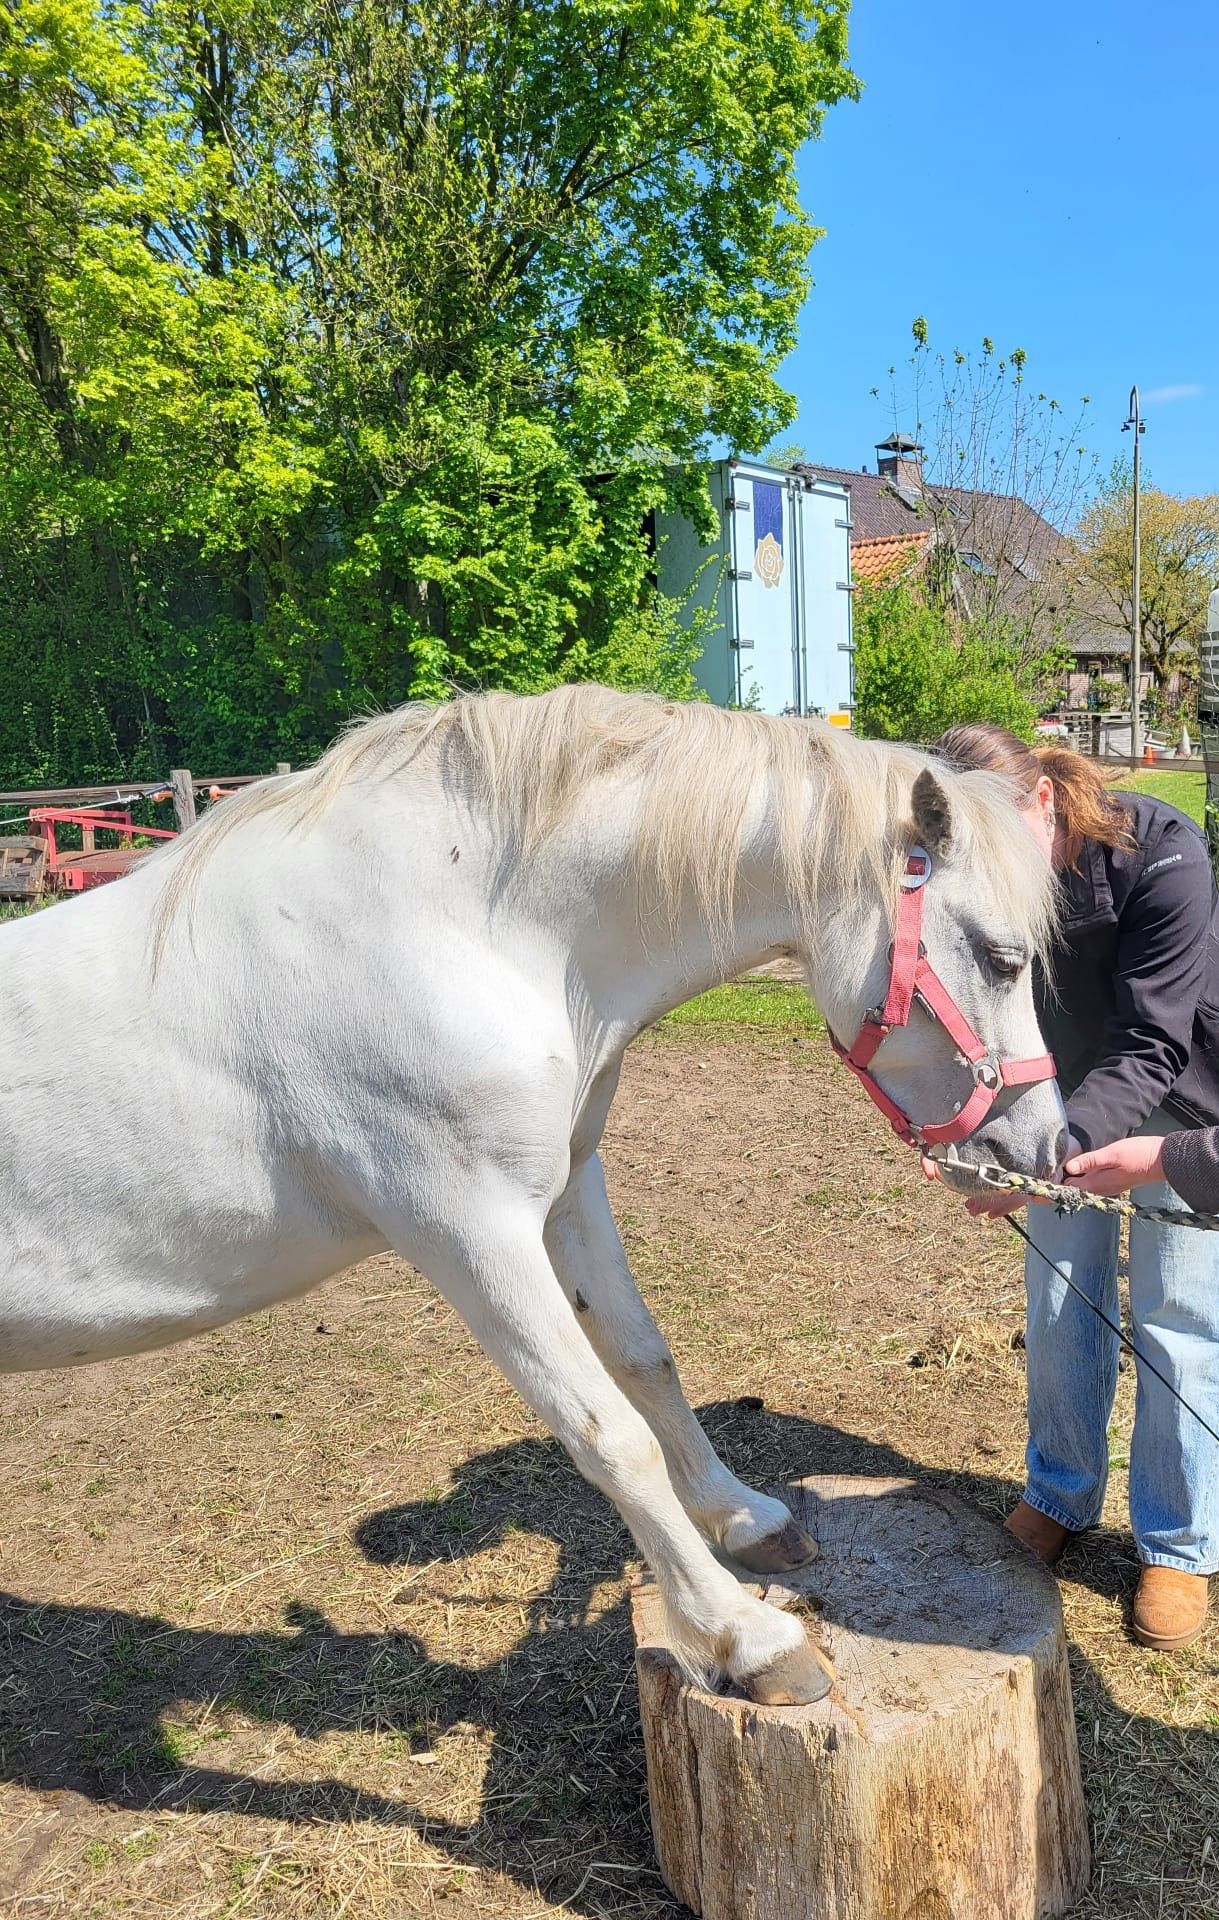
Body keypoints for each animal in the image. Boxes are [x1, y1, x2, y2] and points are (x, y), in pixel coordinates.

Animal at [0, 685, 1065, 1706]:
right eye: (1002, 957)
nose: (1048, 1147)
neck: (464, 926)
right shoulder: (469, 1232)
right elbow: (608, 1434)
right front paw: (741, 1636)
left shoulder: (564, 1191)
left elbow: (645, 1360)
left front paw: (743, 1517)